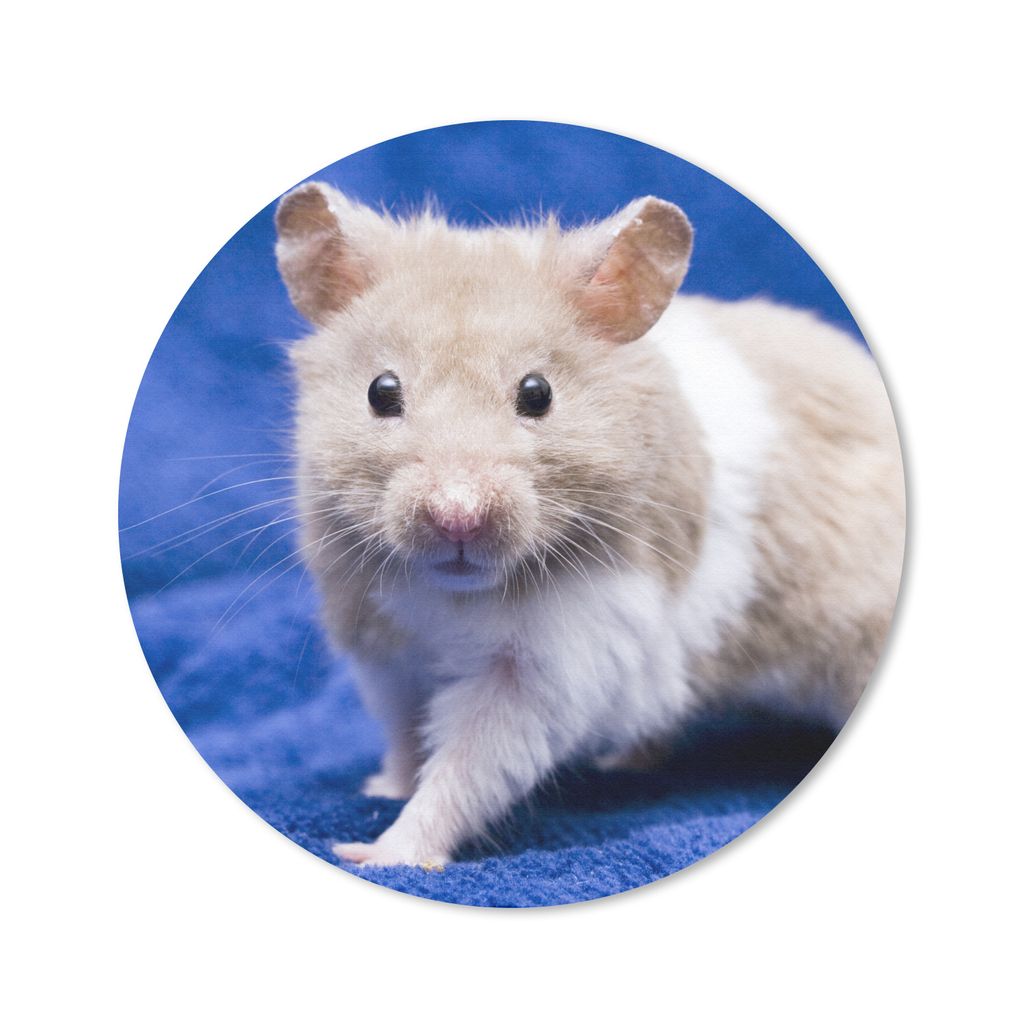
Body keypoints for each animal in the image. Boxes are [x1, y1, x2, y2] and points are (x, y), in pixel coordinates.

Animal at [274, 183, 905, 868]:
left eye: (537, 393)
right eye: (381, 391)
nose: (457, 516)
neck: (452, 594)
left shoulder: (550, 665)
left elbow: (467, 767)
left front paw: (374, 852)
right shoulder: (379, 641)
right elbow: (402, 733)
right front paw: (382, 789)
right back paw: (623, 760)